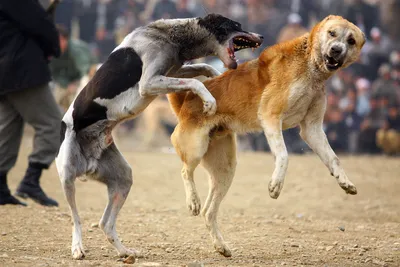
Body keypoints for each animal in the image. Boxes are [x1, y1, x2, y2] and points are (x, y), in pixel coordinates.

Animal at [56, 13, 262, 260]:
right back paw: (77, 248)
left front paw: (216, 78)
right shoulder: (150, 82)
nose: (261, 36)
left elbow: (200, 68)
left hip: (122, 180)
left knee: (106, 224)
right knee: (75, 218)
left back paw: (125, 252)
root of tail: (89, 162)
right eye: (236, 25)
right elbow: (195, 81)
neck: (170, 37)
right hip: (68, 176)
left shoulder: (171, 72)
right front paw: (210, 100)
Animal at [166, 15, 366, 258]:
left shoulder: (312, 128)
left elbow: (333, 158)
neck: (310, 69)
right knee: (186, 172)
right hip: (195, 148)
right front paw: (275, 186)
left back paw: (221, 246)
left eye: (351, 40)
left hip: (226, 168)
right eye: (332, 33)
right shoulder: (271, 117)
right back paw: (193, 201)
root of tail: (185, 101)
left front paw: (345, 181)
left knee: (209, 211)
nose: (336, 50)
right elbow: (284, 155)